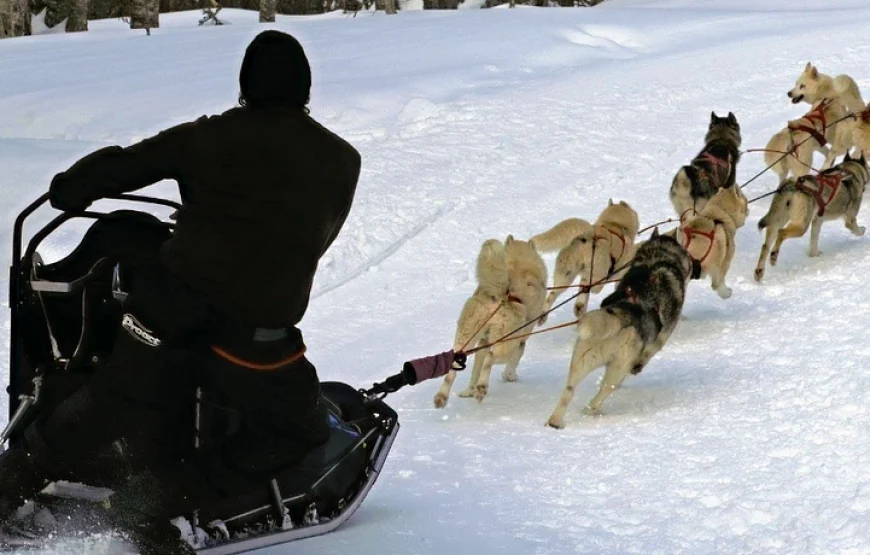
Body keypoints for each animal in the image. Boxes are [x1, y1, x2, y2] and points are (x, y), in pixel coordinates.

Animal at [434, 235, 548, 408]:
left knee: (454, 369)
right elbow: (515, 359)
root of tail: (500, 295)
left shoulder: (482, 342)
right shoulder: (520, 341)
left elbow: (475, 370)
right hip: (507, 344)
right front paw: (509, 376)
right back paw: (481, 388)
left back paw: (442, 397)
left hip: (465, 340)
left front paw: (469, 391)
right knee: (491, 357)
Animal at [548, 231, 700, 430]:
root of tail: (619, 315)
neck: (658, 258)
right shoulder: (663, 334)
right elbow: (650, 352)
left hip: (580, 362)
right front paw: (638, 366)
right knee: (600, 395)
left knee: (568, 391)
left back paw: (555, 421)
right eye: (689, 259)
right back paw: (593, 410)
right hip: (617, 369)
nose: (697, 268)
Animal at [752, 152, 868, 282]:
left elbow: (814, 240)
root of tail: (792, 186)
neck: (850, 171)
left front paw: (814, 254)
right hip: (801, 226)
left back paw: (759, 271)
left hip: (777, 220)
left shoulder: (817, 221)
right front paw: (862, 230)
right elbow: (857, 229)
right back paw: (773, 256)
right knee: (781, 233)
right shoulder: (850, 218)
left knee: (765, 246)